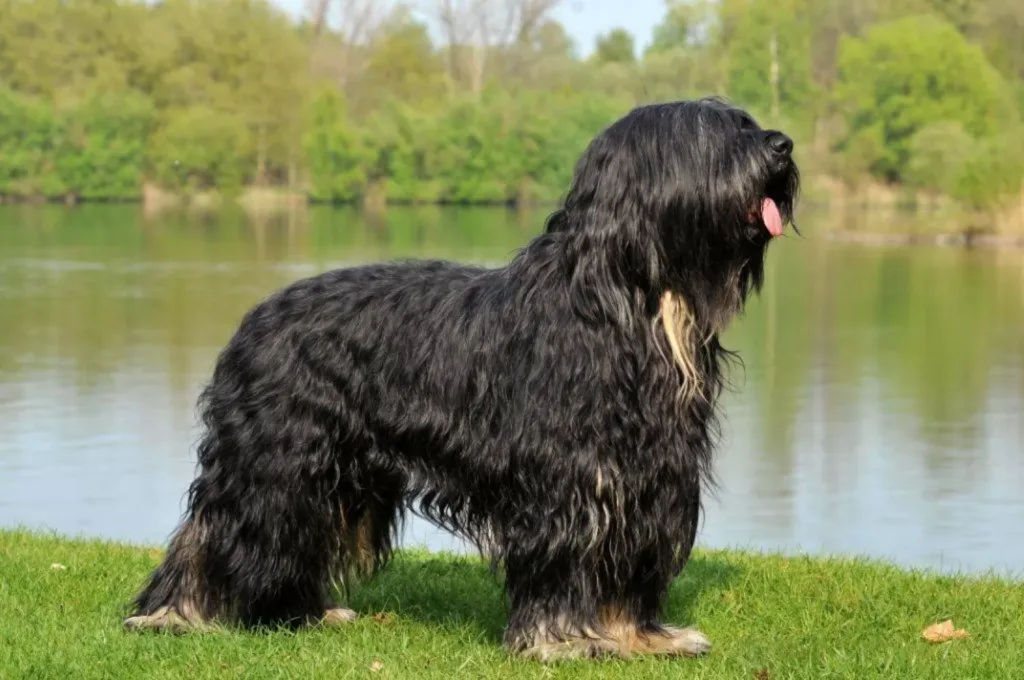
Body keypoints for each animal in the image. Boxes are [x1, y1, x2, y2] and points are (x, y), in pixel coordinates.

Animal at [125, 98, 798, 659]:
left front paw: (640, 636)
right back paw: (175, 614)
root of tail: (257, 316)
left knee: (292, 538)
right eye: (714, 134)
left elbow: (629, 564)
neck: (628, 302)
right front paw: (561, 640)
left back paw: (303, 613)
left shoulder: (649, 476)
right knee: (217, 529)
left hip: (339, 473)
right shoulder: (568, 474)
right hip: (277, 459)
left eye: (746, 121)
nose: (783, 144)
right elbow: (564, 557)